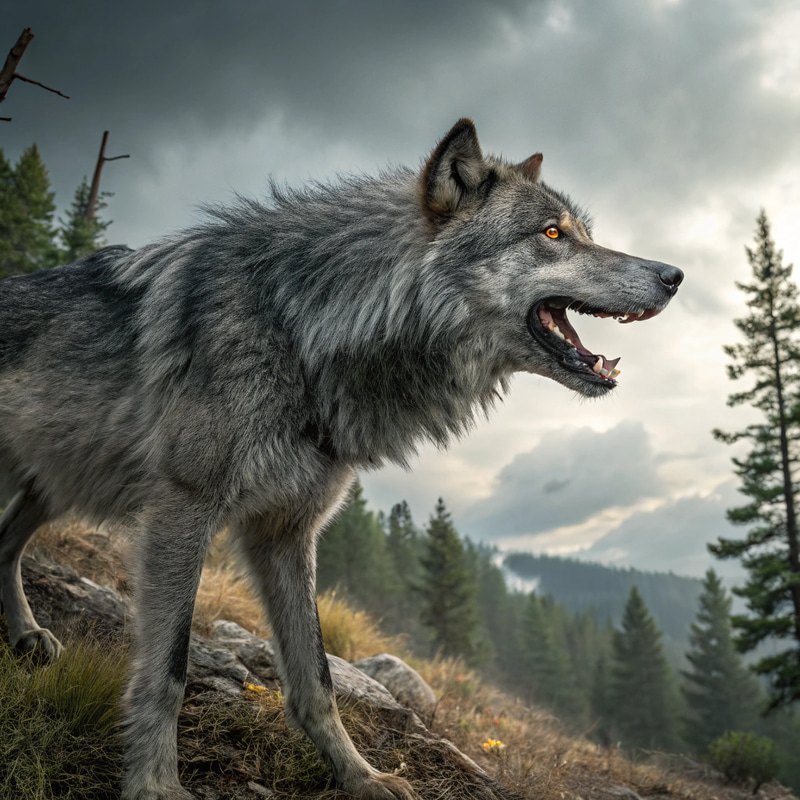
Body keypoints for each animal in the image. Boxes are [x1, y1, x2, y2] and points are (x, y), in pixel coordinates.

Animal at [0, 119, 682, 799]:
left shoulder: (287, 531)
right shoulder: (183, 510)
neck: (301, 331)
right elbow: (168, 667)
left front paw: (360, 775)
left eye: (583, 232)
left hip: (56, 483)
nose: (673, 275)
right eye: (552, 234)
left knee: (6, 542)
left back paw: (26, 635)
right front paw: (154, 785)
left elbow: (316, 679)